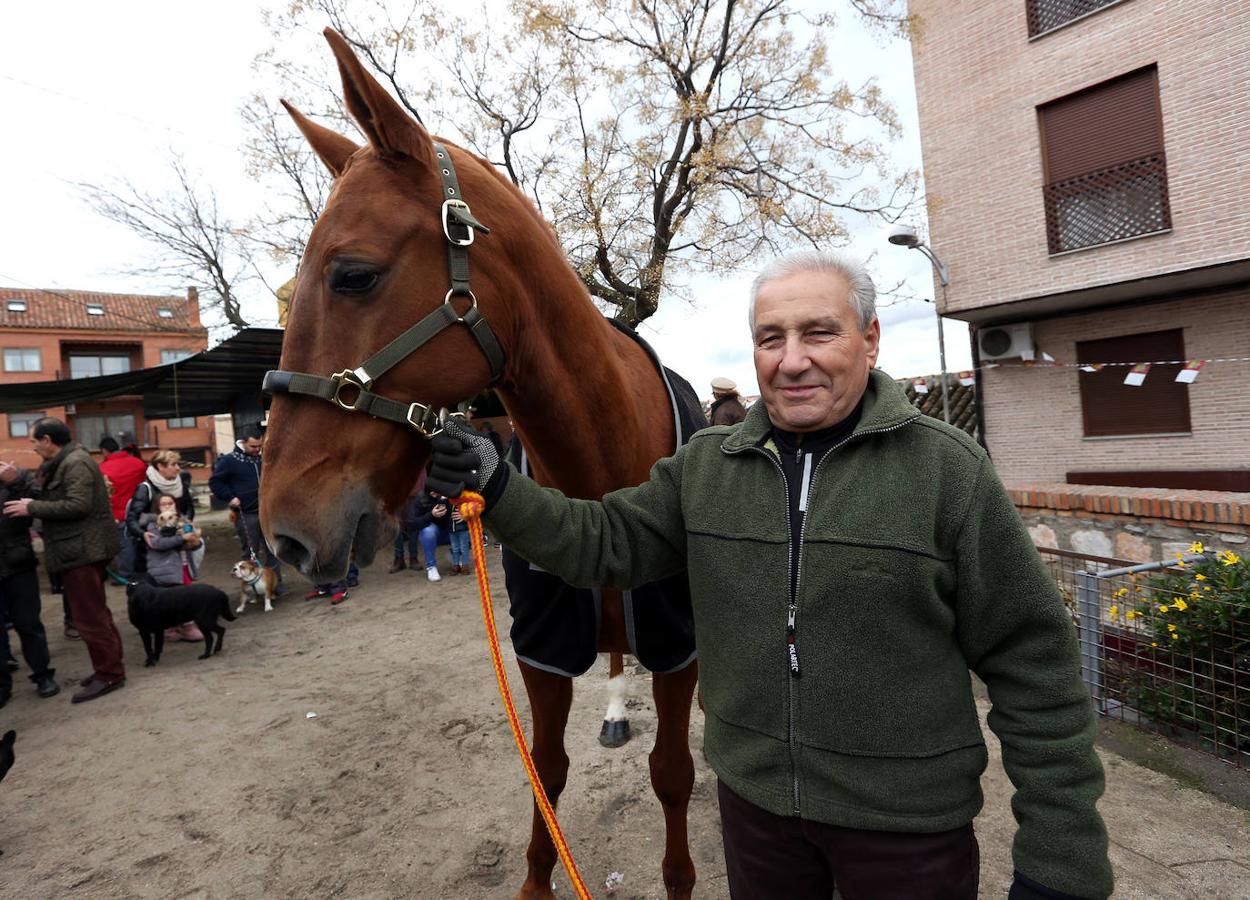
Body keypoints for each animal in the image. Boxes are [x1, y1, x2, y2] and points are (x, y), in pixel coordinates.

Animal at [261, 28, 705, 900]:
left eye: (353, 274)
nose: (283, 531)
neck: (601, 481)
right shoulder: (541, 654)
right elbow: (546, 771)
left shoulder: (678, 650)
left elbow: (672, 772)